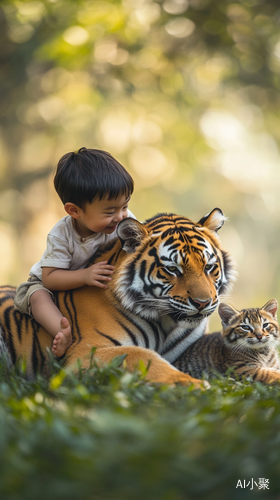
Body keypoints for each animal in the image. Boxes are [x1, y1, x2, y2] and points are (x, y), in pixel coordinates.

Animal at [0, 207, 235, 386]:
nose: (202, 303)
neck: (165, 323)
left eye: (209, 267)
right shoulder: (84, 353)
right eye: (172, 269)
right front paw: (192, 384)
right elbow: (140, 355)